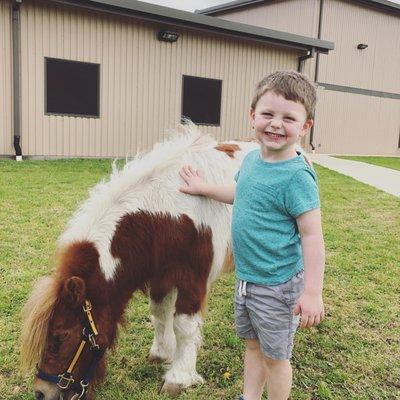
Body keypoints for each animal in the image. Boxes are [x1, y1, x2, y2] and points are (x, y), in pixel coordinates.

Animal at [20, 124, 258, 396]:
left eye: (60, 335)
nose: (41, 392)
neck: (166, 214)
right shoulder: (161, 275)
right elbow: (159, 314)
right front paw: (161, 353)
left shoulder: (192, 278)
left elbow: (184, 327)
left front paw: (179, 377)